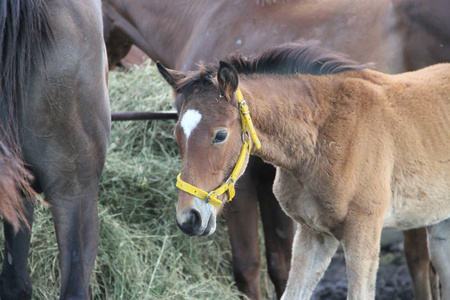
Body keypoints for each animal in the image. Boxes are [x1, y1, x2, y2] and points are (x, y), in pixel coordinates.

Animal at [103, 0, 450, 298]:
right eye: (177, 134)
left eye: (220, 135)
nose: (189, 218)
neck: (325, 135)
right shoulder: (312, 232)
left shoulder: (360, 231)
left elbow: (249, 266)